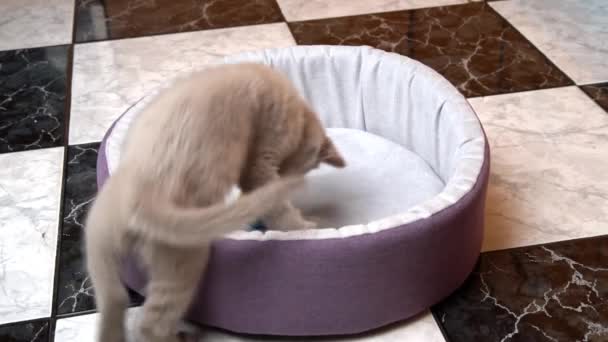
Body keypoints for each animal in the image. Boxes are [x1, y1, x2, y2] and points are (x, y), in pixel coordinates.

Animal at [84, 63, 346, 342]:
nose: (294, 178)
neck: (299, 112)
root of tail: (136, 196)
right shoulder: (262, 163)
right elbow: (278, 208)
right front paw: (305, 226)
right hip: (183, 256)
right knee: (152, 324)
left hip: (99, 251)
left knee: (115, 301)